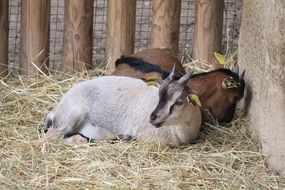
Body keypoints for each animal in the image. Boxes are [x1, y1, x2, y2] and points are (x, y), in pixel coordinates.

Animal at [43, 67, 200, 145]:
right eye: (159, 94)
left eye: (178, 101)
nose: (153, 118)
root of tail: (57, 108)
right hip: (70, 118)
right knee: (50, 136)